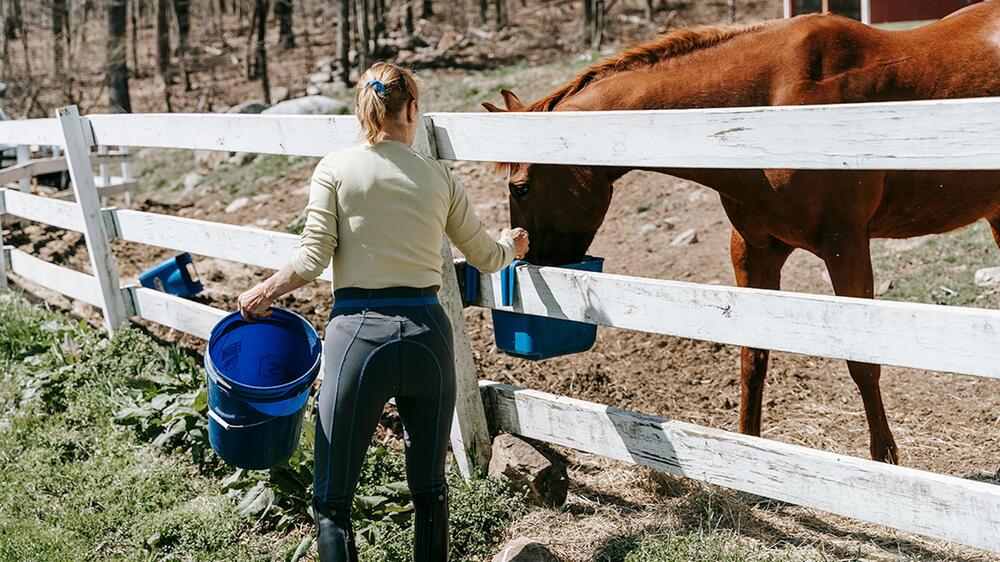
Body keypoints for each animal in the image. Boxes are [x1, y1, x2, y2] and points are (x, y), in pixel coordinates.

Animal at [480, 2, 1000, 462]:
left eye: (520, 186)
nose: (530, 262)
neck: (766, 109)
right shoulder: (755, 249)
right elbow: (754, 354)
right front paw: (748, 452)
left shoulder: (846, 246)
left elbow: (861, 361)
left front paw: (883, 460)